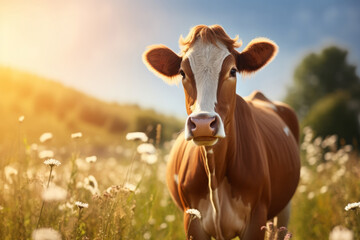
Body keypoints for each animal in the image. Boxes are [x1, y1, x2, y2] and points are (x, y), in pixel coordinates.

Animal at [142, 25, 300, 239]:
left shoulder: (256, 219)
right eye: (182, 72)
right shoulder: (192, 220)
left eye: (233, 71)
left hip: (284, 208)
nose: (202, 122)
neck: (215, 172)